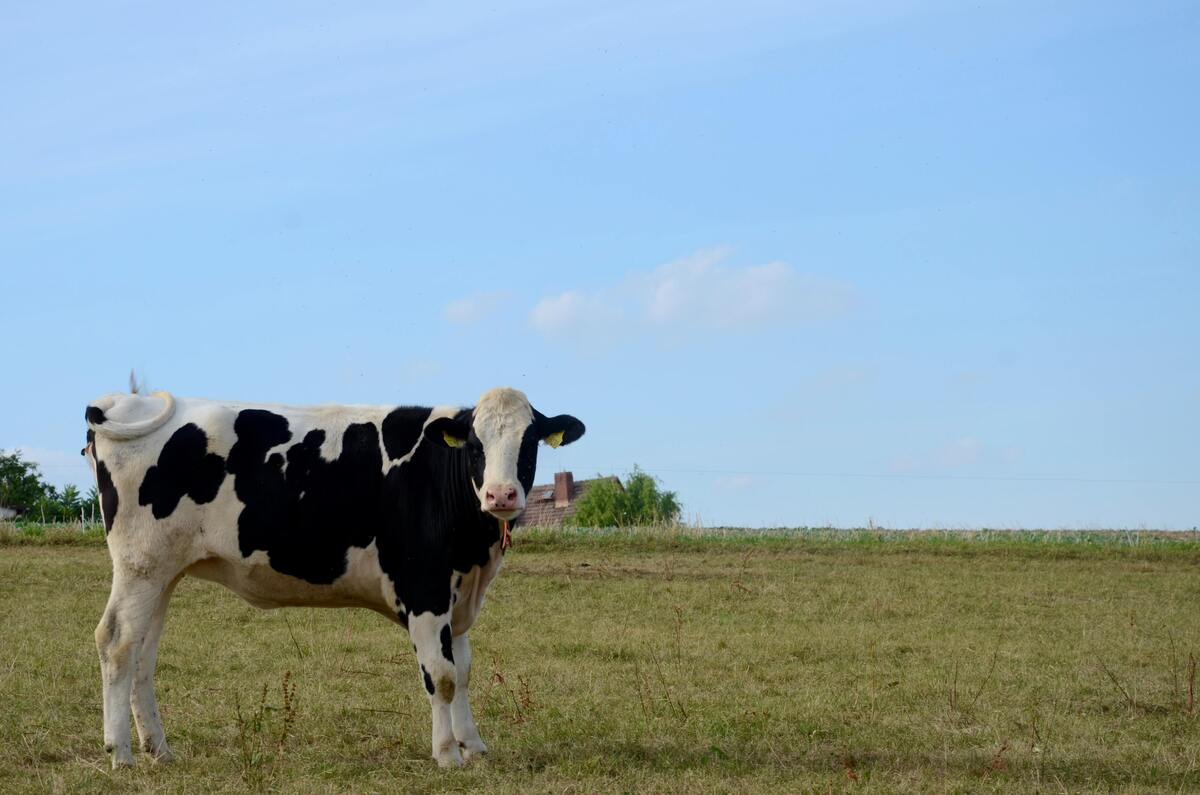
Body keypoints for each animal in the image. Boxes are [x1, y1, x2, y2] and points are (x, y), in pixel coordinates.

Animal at [81, 389, 585, 768]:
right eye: (477, 445)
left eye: (529, 443)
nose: (502, 495)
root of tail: (123, 402)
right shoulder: (425, 588)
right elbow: (441, 676)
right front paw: (447, 755)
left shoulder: (457, 595)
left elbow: (461, 672)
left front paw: (474, 746)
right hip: (140, 565)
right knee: (116, 641)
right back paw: (121, 753)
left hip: (163, 573)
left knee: (143, 654)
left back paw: (159, 749)